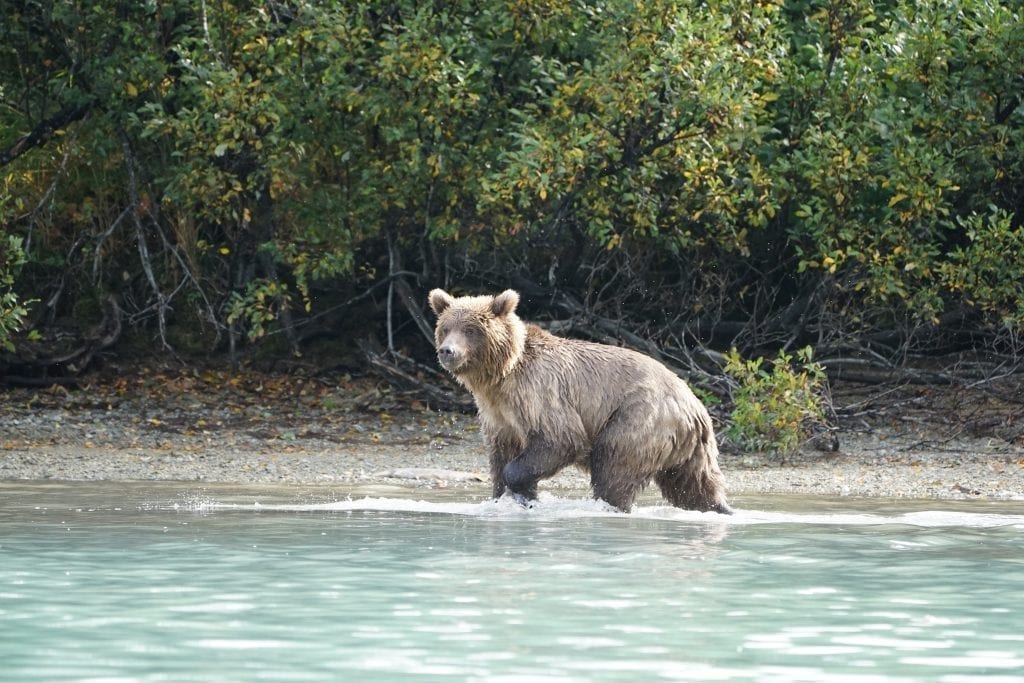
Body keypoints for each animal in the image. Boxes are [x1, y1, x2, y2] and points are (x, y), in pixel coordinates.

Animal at [428, 286, 733, 516]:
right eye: (445, 328)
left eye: (471, 329)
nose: (447, 351)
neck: (502, 375)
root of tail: (695, 406)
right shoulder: (500, 415)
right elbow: (501, 453)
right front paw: (510, 497)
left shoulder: (539, 394)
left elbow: (560, 439)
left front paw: (519, 489)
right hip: (688, 448)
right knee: (693, 485)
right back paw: (720, 508)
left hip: (638, 420)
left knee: (614, 468)